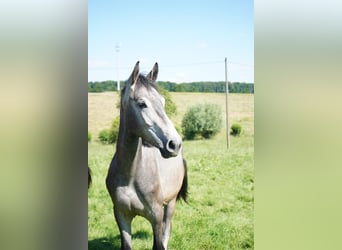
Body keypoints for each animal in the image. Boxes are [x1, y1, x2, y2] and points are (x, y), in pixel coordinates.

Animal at [106, 61, 188, 250]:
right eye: (142, 103)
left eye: (163, 102)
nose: (174, 143)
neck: (130, 175)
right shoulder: (121, 215)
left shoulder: (156, 216)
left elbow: (159, 243)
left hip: (170, 204)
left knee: (167, 231)